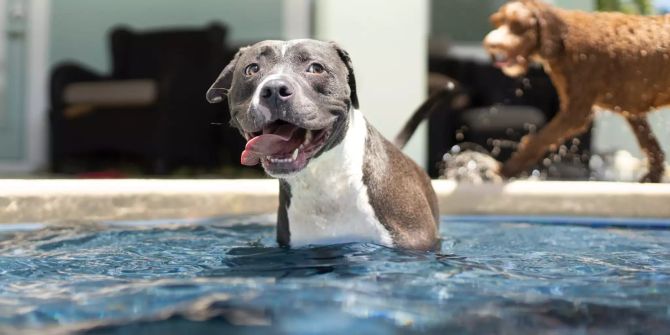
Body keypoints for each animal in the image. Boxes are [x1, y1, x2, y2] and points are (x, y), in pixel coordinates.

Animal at [486, 0, 668, 184]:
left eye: (518, 25)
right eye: (497, 22)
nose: (491, 44)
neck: (563, 38)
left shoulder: (576, 112)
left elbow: (539, 140)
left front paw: (505, 170)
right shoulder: (630, 109)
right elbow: (650, 145)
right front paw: (651, 177)